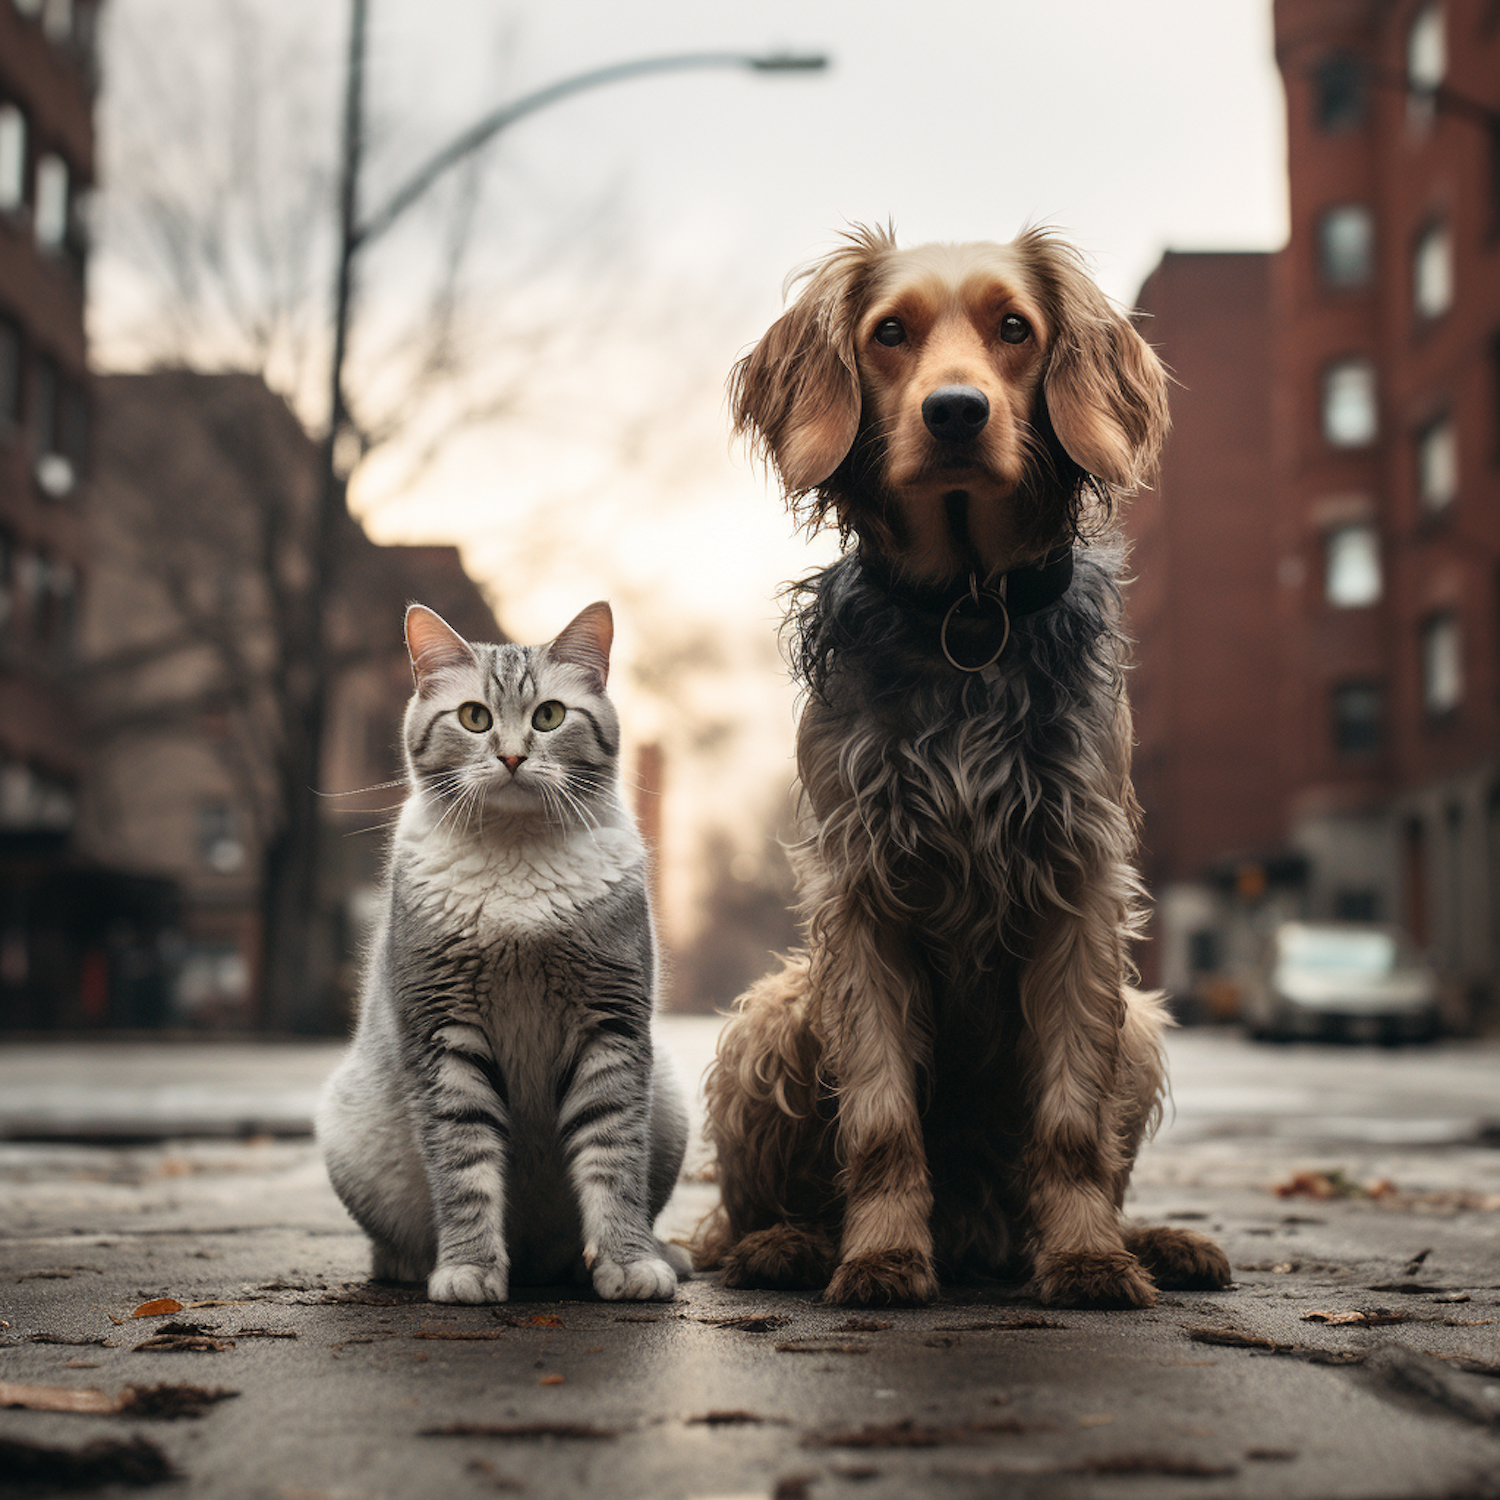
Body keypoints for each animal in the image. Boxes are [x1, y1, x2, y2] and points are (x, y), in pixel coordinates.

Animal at [321, 597, 690, 1302]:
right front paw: (468, 1267)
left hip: (671, 1108)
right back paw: (416, 1264)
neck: (517, 861)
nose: (514, 757)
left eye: (549, 716)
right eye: (475, 717)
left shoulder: (611, 1026)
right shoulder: (443, 1035)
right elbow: (464, 1169)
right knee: (392, 1246)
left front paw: (628, 1261)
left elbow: (613, 1161)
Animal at [690, 228, 1230, 1308]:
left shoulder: (1080, 889)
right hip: (772, 1014)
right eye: (889, 333)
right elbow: (880, 1118)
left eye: (1015, 328)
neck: (968, 617)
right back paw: (791, 1244)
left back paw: (1150, 1241)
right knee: (726, 1226)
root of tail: (981, 1235)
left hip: (1144, 1029)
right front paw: (882, 1255)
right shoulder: (863, 894)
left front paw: (1091, 1257)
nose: (955, 411)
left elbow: (1069, 1128)